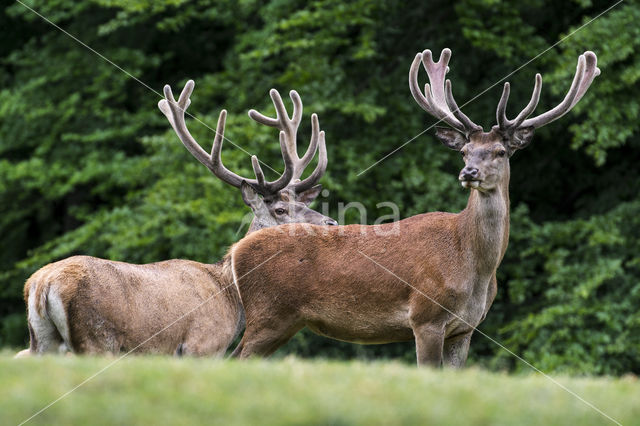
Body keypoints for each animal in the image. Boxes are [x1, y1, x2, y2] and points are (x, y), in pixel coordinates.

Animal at [16, 80, 336, 356]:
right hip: (95, 339)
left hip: (42, 340)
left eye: (301, 202)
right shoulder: (203, 344)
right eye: (279, 210)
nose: (331, 223)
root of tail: (41, 286)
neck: (231, 294)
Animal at [230, 47, 600, 366]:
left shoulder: (465, 330)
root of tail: (235, 252)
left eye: (500, 151)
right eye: (464, 152)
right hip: (269, 315)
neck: (473, 265)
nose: (469, 172)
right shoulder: (426, 317)